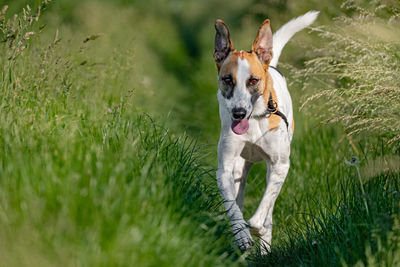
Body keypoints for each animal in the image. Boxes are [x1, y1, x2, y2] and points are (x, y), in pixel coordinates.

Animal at [212, 10, 318, 253]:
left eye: (253, 80)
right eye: (227, 80)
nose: (239, 113)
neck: (254, 122)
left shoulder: (280, 166)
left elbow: (263, 212)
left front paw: (257, 228)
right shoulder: (225, 171)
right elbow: (233, 208)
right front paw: (242, 235)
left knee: (268, 209)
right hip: (240, 170)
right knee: (239, 196)